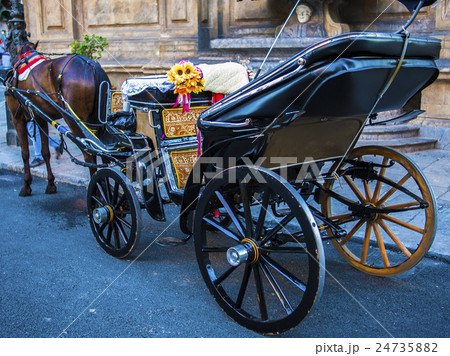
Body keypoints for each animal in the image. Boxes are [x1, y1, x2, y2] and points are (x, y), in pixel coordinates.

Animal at [5, 42, 109, 197]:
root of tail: (92, 66)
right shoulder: (40, 119)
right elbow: (45, 152)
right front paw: (50, 184)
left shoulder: (17, 118)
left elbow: (25, 153)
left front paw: (26, 186)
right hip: (95, 121)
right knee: (104, 154)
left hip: (74, 120)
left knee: (90, 155)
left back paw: (97, 192)